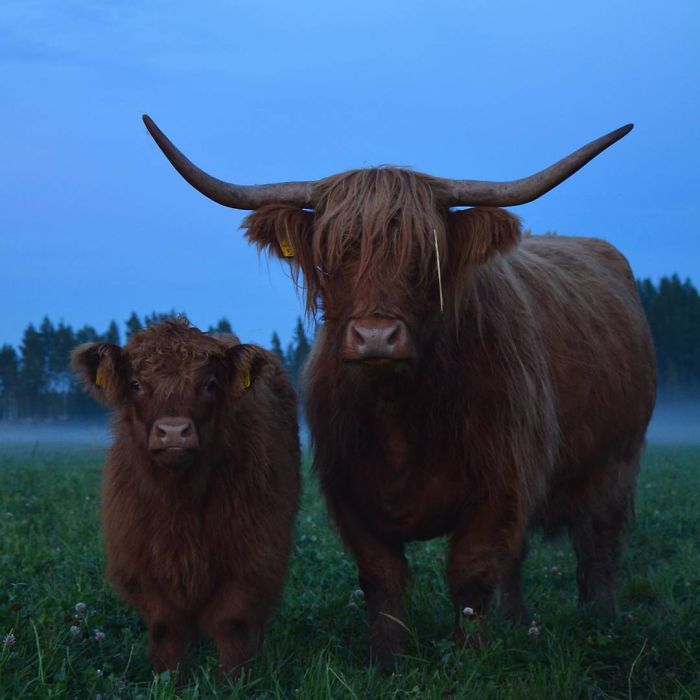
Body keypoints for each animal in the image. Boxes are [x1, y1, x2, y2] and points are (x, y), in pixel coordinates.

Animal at [71, 319, 300, 676]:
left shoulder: (252, 557)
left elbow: (233, 623)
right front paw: (169, 679)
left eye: (210, 384)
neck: (179, 498)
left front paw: (234, 680)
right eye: (136, 383)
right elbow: (167, 628)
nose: (174, 431)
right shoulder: (140, 564)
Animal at [142, 117, 656, 671]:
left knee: (597, 543)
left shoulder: (501, 482)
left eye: (425, 257)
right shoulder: (349, 489)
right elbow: (382, 578)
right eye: (331, 258)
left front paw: (469, 657)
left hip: (617, 461)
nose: (375, 337)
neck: (401, 417)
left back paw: (600, 622)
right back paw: (518, 622)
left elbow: (472, 574)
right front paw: (386, 660)